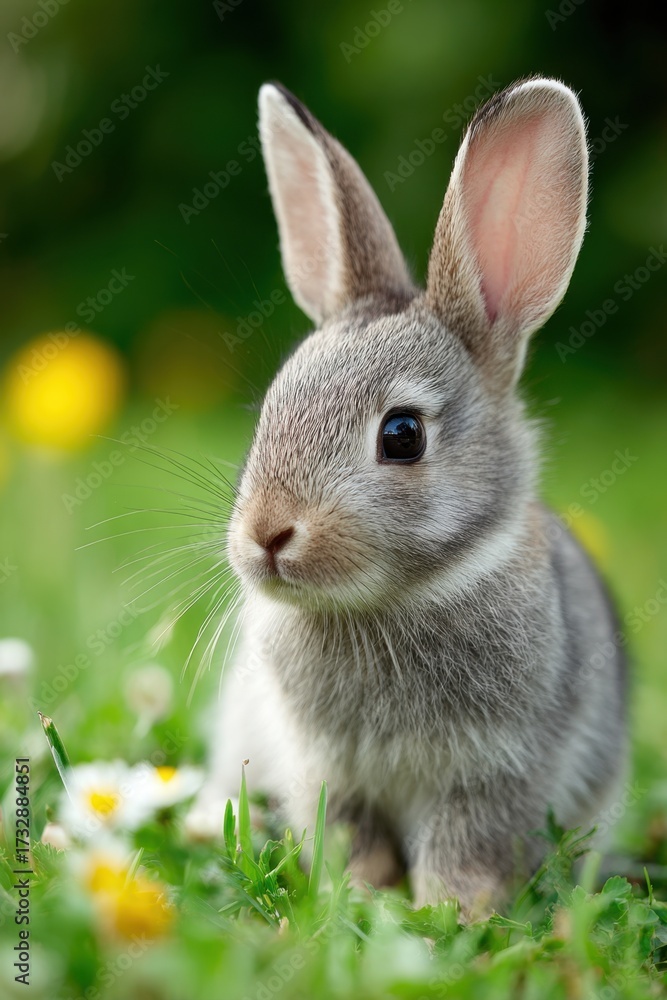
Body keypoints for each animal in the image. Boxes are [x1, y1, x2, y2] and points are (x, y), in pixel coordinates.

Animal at [185, 77, 627, 918]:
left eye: (401, 435)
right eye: (269, 411)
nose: (266, 535)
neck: (389, 602)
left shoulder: (494, 772)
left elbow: (464, 846)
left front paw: (449, 912)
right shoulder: (324, 768)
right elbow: (347, 835)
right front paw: (359, 899)